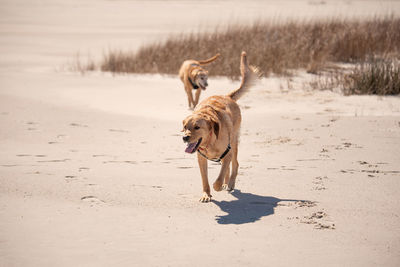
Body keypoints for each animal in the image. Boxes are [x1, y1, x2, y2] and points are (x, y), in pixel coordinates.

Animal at [182, 51, 262, 203]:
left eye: (197, 127)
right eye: (184, 127)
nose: (184, 137)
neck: (210, 141)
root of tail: (227, 96)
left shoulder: (228, 152)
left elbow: (218, 180)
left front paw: (218, 186)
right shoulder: (201, 159)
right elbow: (205, 179)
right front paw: (206, 194)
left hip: (234, 143)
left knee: (234, 164)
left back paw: (229, 184)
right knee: (228, 167)